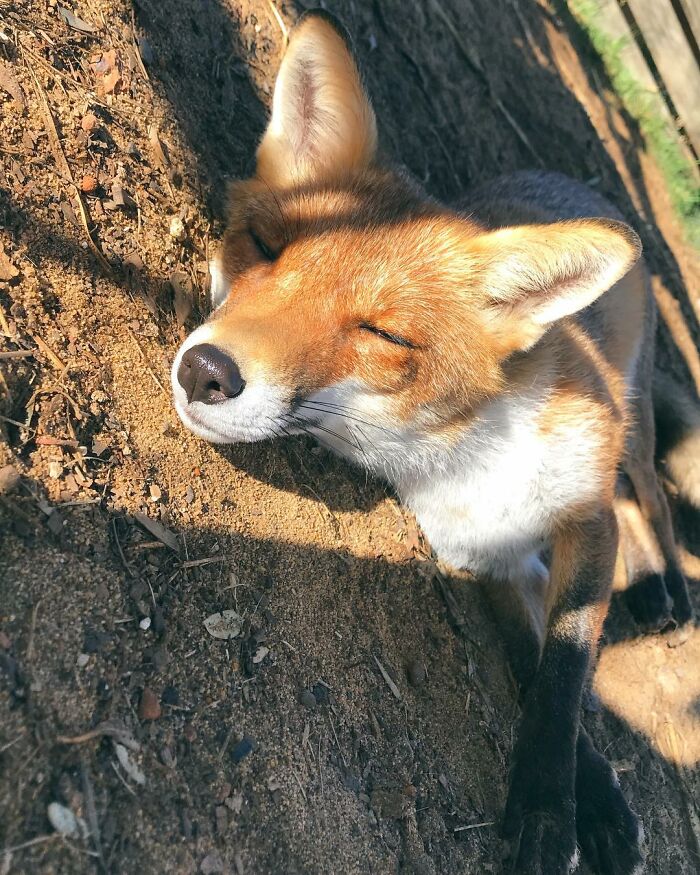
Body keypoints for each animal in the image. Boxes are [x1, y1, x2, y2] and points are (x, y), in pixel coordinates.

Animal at [171, 11, 698, 875]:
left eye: (383, 333)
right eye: (265, 243)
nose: (207, 371)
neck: (475, 453)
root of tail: (572, 180)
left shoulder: (583, 517)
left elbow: (565, 674)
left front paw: (553, 810)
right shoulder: (482, 557)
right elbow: (534, 662)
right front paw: (583, 799)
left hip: (627, 418)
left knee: (647, 491)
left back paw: (667, 589)